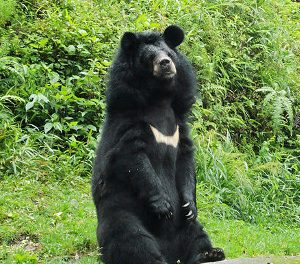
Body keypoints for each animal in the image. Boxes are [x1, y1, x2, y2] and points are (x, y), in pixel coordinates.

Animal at [92, 25, 225, 264]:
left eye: (169, 53)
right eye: (148, 57)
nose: (165, 63)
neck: (159, 98)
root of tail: (171, 253)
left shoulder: (180, 126)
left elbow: (185, 161)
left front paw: (189, 205)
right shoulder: (129, 124)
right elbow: (133, 158)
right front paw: (163, 206)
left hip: (187, 228)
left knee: (196, 232)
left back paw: (209, 253)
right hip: (121, 212)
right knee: (130, 237)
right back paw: (154, 258)